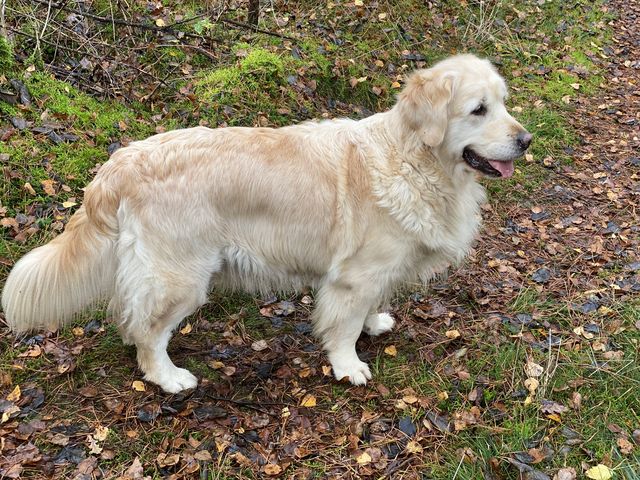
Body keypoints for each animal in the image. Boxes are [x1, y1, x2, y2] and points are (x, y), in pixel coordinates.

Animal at [2, 54, 531, 393]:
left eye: (504, 103)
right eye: (478, 110)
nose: (526, 140)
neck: (413, 160)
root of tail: (120, 163)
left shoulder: (377, 272)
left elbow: (369, 307)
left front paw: (375, 322)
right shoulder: (354, 275)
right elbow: (343, 326)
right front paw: (348, 365)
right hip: (180, 278)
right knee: (146, 331)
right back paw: (169, 378)